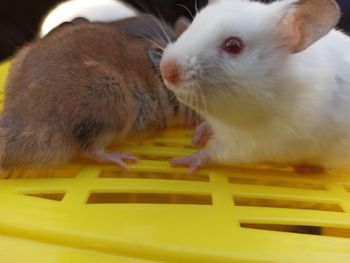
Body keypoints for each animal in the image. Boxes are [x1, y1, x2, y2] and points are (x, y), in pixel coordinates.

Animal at [159, 0, 350, 175]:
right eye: (193, 24)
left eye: (233, 46)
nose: (165, 69)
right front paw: (196, 138)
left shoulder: (255, 144)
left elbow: (213, 152)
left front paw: (180, 162)